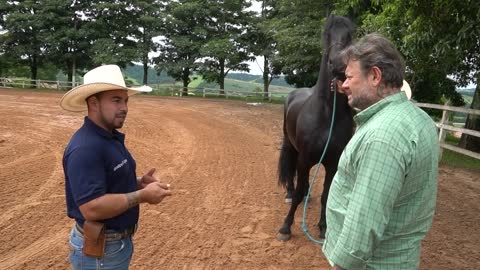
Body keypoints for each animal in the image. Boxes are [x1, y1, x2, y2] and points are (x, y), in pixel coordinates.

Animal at [276, 14, 354, 242]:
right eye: (327, 33)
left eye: (350, 35)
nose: (337, 63)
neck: (328, 113)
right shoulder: (304, 158)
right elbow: (298, 191)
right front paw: (286, 227)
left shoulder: (332, 163)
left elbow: (326, 196)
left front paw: (323, 228)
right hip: (292, 147)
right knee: (292, 172)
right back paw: (290, 192)